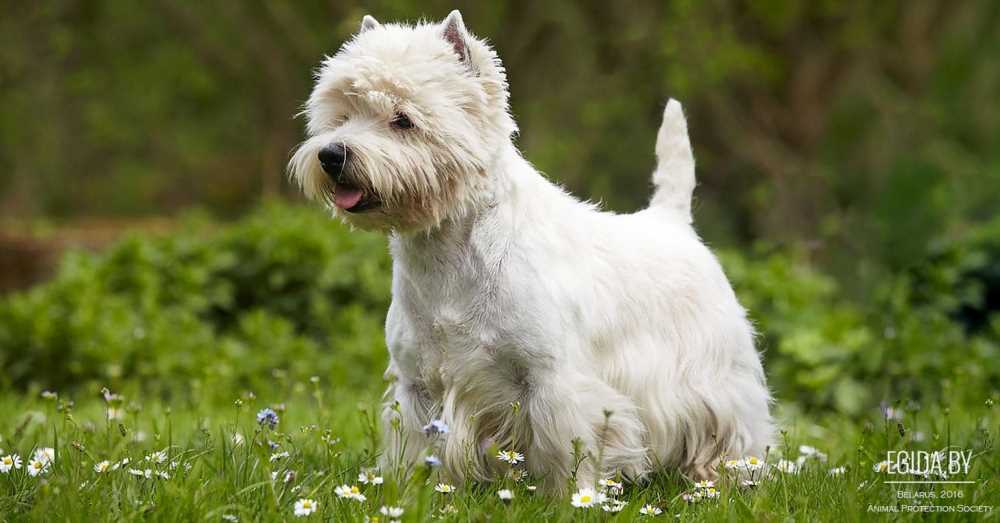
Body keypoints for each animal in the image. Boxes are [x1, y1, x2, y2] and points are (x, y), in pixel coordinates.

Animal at [290, 9, 772, 492]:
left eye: (403, 119)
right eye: (342, 115)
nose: (332, 155)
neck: (447, 253)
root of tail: (672, 221)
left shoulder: (555, 381)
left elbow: (566, 449)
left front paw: (569, 497)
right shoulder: (416, 384)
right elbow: (415, 446)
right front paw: (415, 492)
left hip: (717, 375)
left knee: (737, 429)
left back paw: (725, 477)